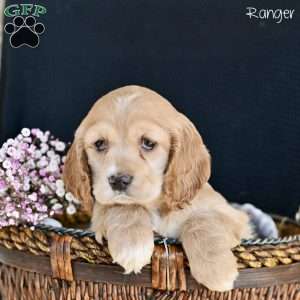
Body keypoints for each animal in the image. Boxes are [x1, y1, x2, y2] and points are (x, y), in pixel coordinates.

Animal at [63, 85, 251, 292]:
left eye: (148, 143)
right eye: (99, 144)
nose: (118, 180)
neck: (156, 206)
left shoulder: (236, 218)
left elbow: (201, 220)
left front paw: (216, 269)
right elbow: (123, 206)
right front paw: (132, 244)